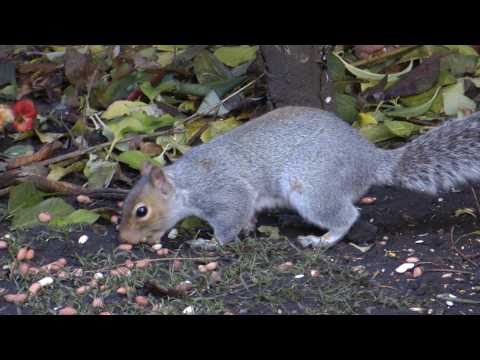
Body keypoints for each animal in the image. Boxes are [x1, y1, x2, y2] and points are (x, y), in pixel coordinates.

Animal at [117, 105, 480, 249]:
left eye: (141, 211)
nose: (124, 238)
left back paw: (322, 240)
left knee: (346, 215)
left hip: (311, 189)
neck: (187, 183)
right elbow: (246, 216)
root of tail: (369, 160)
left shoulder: (223, 193)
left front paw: (210, 242)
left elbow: (229, 222)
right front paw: (248, 228)